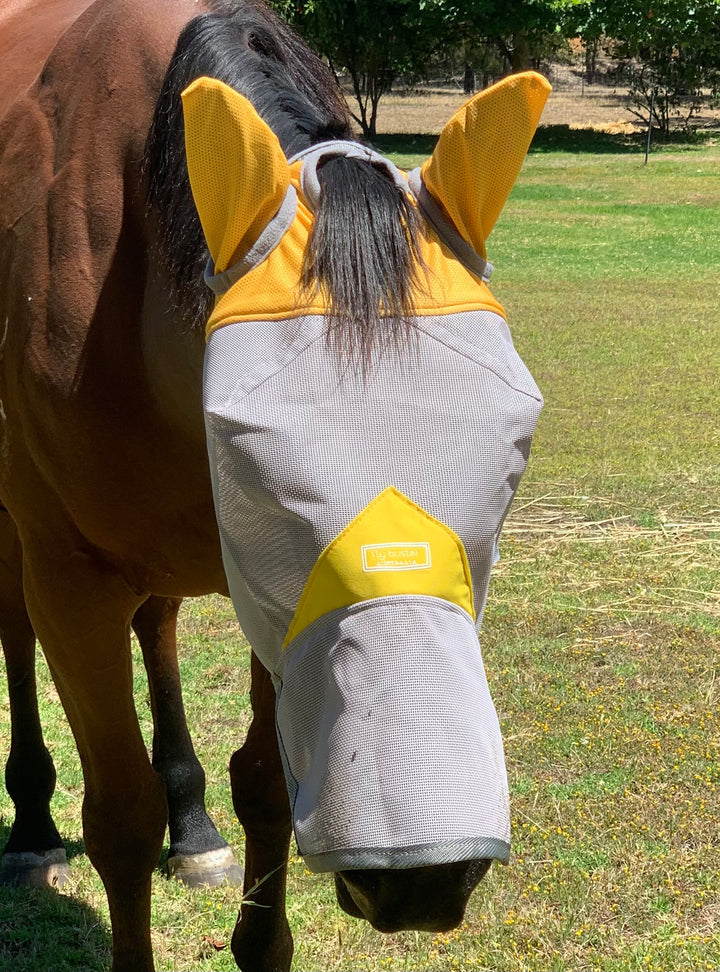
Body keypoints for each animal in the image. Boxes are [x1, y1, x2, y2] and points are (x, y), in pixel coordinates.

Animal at [0, 0, 548, 968]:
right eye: (253, 460)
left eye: (511, 444)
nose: (426, 879)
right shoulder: (71, 578)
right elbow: (120, 818)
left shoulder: (272, 597)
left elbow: (263, 785)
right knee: (9, 628)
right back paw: (30, 827)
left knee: (158, 627)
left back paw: (192, 826)